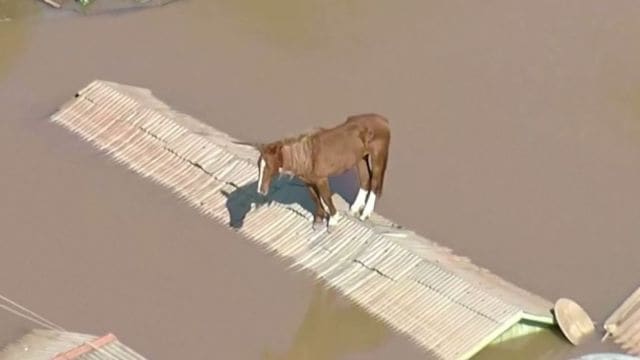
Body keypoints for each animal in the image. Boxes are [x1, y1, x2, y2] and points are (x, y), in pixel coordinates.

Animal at [240, 114, 390, 229]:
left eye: (269, 166)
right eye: (259, 166)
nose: (261, 190)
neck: (307, 155)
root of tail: (383, 120)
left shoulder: (321, 179)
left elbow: (326, 197)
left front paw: (333, 220)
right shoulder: (309, 182)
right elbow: (316, 198)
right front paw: (319, 220)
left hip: (378, 156)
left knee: (375, 183)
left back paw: (365, 213)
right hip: (361, 158)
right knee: (365, 179)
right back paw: (355, 208)